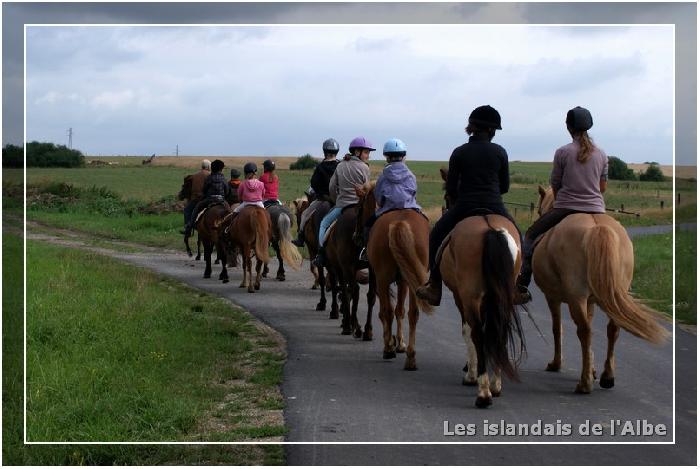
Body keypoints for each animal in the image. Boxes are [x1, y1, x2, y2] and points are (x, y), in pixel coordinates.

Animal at [358, 183, 434, 370]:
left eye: (360, 208)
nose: (357, 235)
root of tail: (400, 222)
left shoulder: (376, 275)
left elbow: (380, 305)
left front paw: (392, 342)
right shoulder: (403, 281)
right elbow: (400, 310)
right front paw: (400, 344)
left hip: (383, 278)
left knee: (387, 311)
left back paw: (388, 349)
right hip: (412, 280)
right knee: (413, 313)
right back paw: (411, 358)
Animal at [532, 185, 668, 394]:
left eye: (540, 210)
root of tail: (596, 227)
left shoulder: (552, 297)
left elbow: (557, 328)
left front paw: (557, 364)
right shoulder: (590, 301)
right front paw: (592, 369)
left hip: (576, 296)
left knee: (585, 331)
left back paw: (584, 384)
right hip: (611, 296)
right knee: (612, 329)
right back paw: (607, 377)